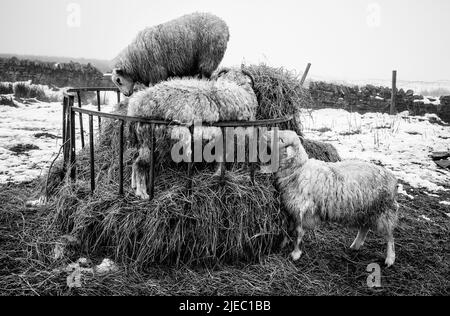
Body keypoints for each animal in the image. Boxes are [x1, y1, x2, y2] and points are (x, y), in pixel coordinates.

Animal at [128, 77, 258, 199]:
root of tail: (135, 106)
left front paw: (216, 175)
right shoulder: (225, 137)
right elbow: (222, 160)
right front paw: (218, 176)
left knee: (135, 163)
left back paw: (134, 186)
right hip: (153, 142)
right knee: (139, 165)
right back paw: (142, 193)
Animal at [264, 130, 398, 266]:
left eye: (281, 140)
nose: (264, 133)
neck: (298, 170)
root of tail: (392, 178)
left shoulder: (304, 211)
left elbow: (298, 233)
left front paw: (295, 253)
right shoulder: (292, 210)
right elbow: (288, 229)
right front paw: (283, 244)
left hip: (383, 211)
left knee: (390, 236)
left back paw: (390, 258)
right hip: (366, 210)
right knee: (365, 227)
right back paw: (356, 245)